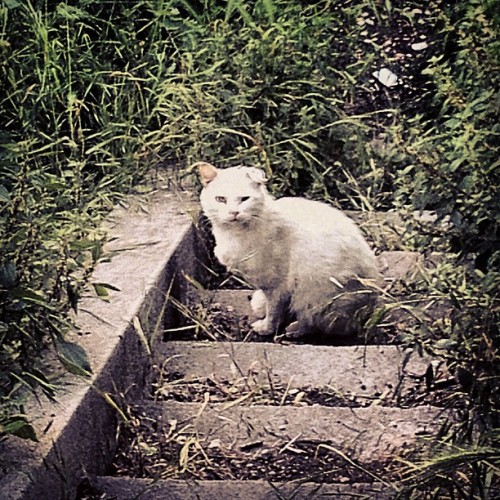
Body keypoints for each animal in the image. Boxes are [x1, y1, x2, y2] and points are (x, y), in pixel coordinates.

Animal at [196, 162, 382, 338]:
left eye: (244, 199)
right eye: (220, 199)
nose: (233, 212)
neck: (235, 234)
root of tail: (370, 304)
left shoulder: (277, 285)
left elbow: (274, 312)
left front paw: (266, 328)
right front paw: (261, 307)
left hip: (315, 294)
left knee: (316, 323)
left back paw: (294, 330)